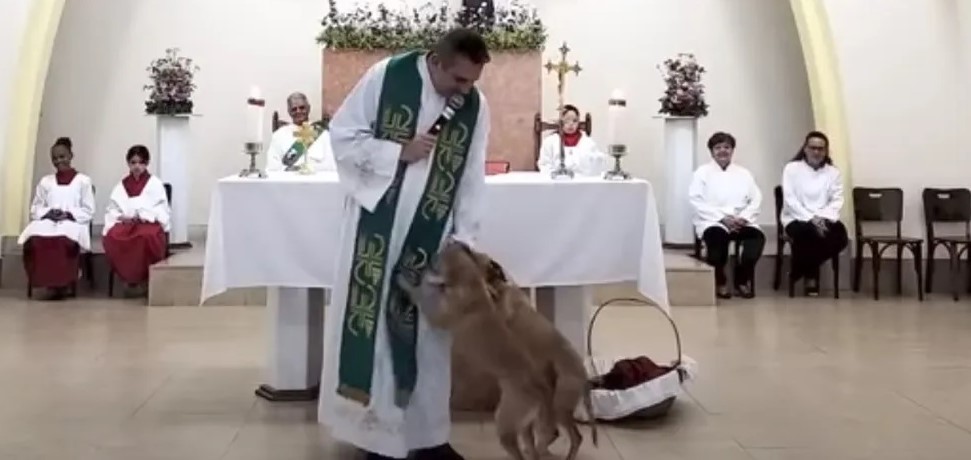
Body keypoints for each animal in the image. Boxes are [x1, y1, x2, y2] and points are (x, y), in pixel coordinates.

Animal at [396, 239, 552, 458]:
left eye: (439, 258)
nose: (450, 239)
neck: (472, 284)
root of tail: (540, 387)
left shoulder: (436, 314)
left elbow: (421, 296)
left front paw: (407, 282)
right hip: (523, 424)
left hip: (505, 420)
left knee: (513, 446)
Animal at [468, 250, 596, 460]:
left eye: (476, 255)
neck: (501, 287)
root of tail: (584, 376)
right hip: (553, 408)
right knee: (554, 435)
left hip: (560, 406)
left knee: (575, 437)